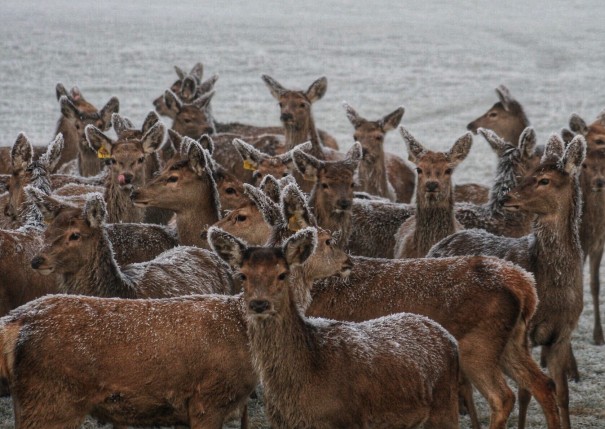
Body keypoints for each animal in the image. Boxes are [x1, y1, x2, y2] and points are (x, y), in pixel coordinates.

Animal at [210, 224, 460, 428]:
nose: (259, 304)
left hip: (445, 406)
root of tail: (448, 338)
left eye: (282, 274)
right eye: (242, 275)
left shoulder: (348, 419)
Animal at [428, 134, 588, 428]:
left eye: (544, 179)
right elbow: (525, 393)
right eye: (529, 172)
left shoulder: (562, 335)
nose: (506, 196)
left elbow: (563, 394)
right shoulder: (527, 332)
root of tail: (440, 243)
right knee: (464, 384)